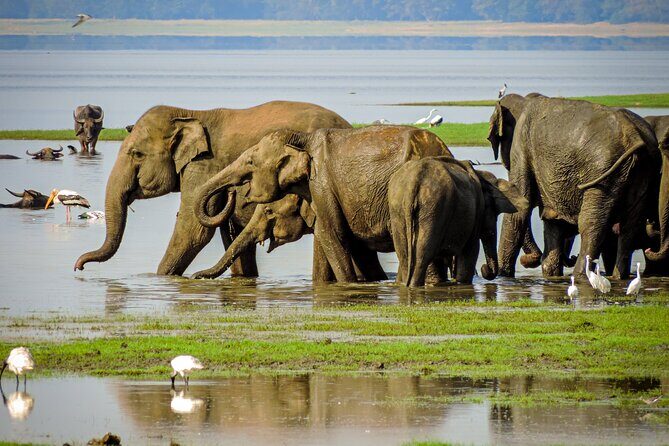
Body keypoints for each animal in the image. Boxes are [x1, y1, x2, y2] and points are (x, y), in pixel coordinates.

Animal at [74, 101, 352, 277]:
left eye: (136, 154)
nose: (78, 267)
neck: (189, 113)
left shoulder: (204, 165)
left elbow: (193, 230)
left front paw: (161, 279)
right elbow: (229, 234)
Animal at [193, 125, 453, 284]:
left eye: (250, 162)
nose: (195, 276)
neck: (301, 138)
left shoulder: (322, 185)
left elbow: (334, 236)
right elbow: (351, 246)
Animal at [388, 157, 527, 286]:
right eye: (494, 214)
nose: (484, 268)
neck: (481, 175)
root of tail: (414, 181)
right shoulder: (477, 211)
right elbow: (471, 250)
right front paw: (462, 283)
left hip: (399, 208)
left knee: (404, 255)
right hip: (434, 207)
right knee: (423, 256)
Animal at [488, 93, 659, 279]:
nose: (527, 260)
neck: (524, 99)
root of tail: (634, 135)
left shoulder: (521, 146)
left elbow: (519, 212)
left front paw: (503, 276)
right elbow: (553, 221)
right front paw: (551, 275)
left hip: (604, 172)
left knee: (591, 224)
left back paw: (581, 274)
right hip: (642, 170)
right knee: (630, 226)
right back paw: (618, 277)